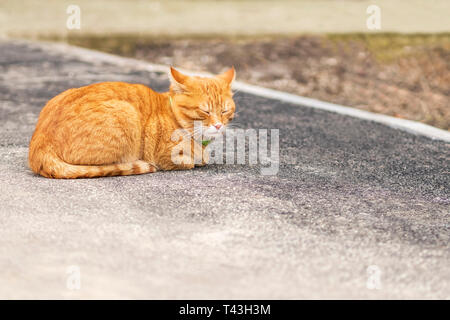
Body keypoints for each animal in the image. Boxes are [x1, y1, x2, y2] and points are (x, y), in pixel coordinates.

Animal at [27, 66, 236, 179]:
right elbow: (190, 162)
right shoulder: (166, 157)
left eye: (224, 111)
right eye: (205, 111)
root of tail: (40, 140)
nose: (218, 125)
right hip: (126, 112)